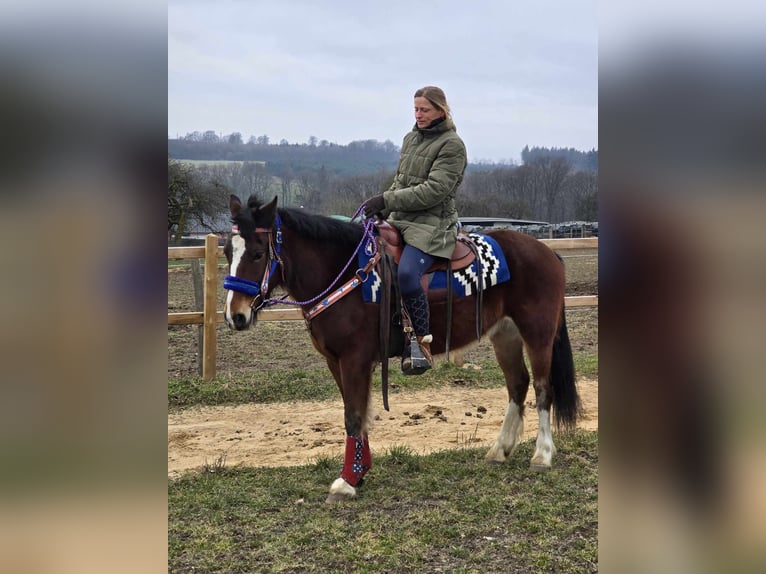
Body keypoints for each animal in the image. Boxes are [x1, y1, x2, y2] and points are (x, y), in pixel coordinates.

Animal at [222, 197, 584, 504]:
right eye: (227, 251)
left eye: (257, 253)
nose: (235, 316)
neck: (342, 271)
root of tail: (547, 252)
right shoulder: (336, 361)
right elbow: (357, 413)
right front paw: (360, 472)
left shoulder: (354, 359)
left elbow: (354, 416)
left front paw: (347, 481)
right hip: (504, 334)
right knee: (517, 384)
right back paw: (499, 450)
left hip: (538, 334)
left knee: (542, 387)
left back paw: (542, 454)